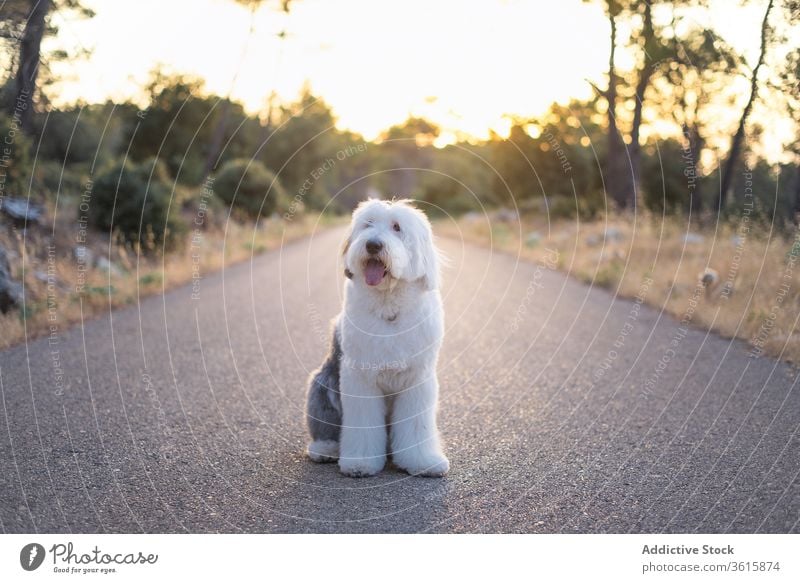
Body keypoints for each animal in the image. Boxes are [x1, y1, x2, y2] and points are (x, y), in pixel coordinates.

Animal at [306, 198, 446, 476]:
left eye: (397, 227)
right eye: (368, 224)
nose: (373, 245)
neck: (388, 305)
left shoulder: (418, 378)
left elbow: (417, 426)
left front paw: (423, 462)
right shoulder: (359, 378)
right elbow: (363, 426)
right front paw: (359, 464)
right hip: (321, 386)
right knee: (325, 427)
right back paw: (325, 450)